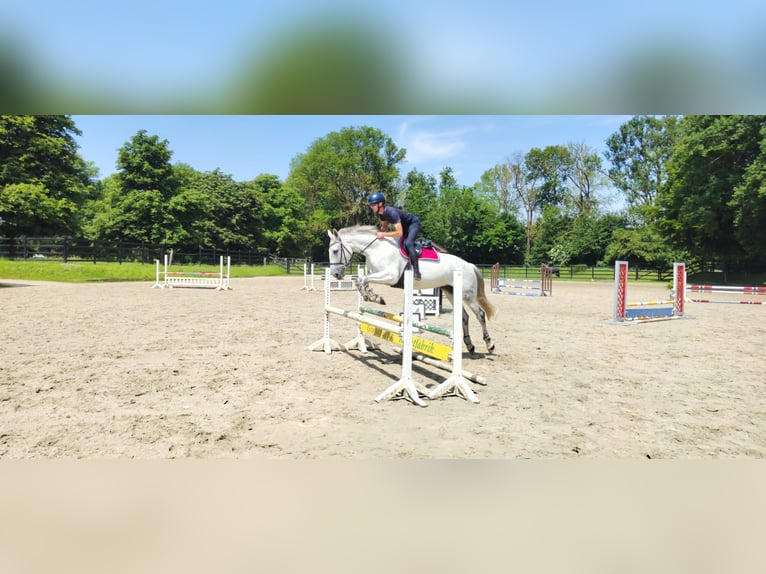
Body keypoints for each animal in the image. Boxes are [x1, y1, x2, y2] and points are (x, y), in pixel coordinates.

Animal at [327, 226, 497, 354]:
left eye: (335, 251)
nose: (336, 274)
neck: (376, 249)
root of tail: (469, 265)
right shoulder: (376, 274)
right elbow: (361, 281)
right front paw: (372, 296)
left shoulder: (390, 276)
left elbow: (363, 280)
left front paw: (374, 297)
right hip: (451, 292)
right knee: (464, 317)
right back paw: (470, 345)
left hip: (468, 295)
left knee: (480, 315)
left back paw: (489, 344)